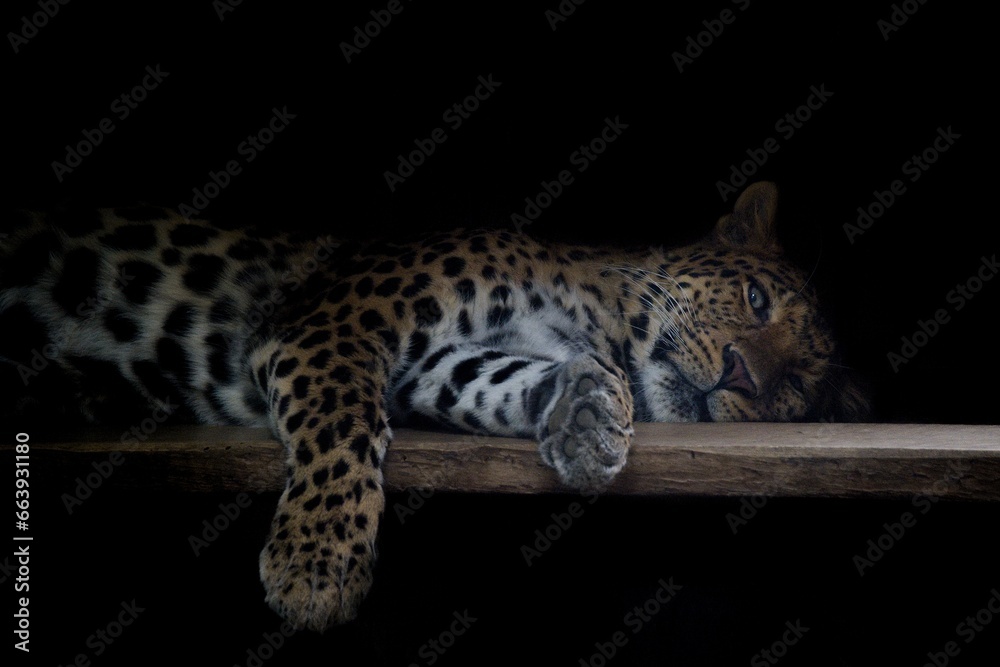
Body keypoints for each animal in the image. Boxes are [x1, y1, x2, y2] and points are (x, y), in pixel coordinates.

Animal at [0, 181, 868, 631]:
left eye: (796, 384)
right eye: (755, 299)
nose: (744, 377)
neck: (593, 316)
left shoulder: (432, 367)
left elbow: (496, 377)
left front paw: (588, 414)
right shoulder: (337, 321)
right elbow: (343, 425)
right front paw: (317, 564)